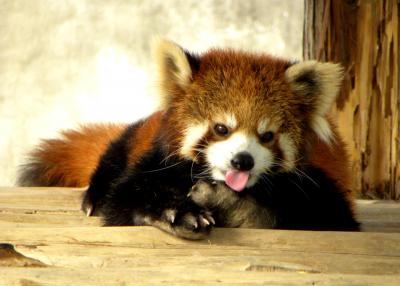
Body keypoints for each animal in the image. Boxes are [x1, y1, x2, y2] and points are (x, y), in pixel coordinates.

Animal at [18, 38, 360, 239]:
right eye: (221, 128)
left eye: (267, 136)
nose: (243, 161)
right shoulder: (158, 160)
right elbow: (127, 198)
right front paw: (177, 214)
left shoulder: (319, 188)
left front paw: (234, 207)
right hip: (137, 134)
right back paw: (95, 196)